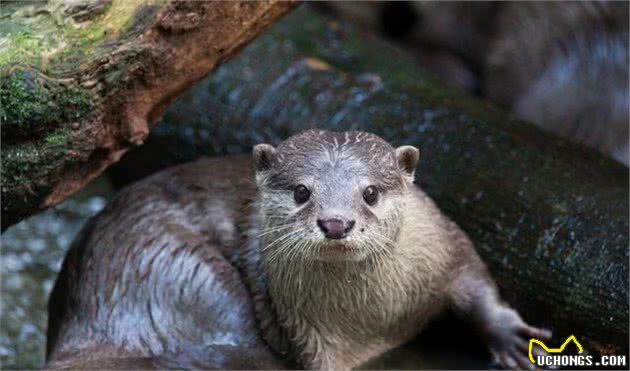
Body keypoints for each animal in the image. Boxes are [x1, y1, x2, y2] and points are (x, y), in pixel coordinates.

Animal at [47, 130, 552, 370]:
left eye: (370, 192)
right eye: (301, 192)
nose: (336, 222)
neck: (376, 318)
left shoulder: (443, 242)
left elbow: (477, 282)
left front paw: (513, 339)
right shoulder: (308, 335)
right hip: (178, 269)